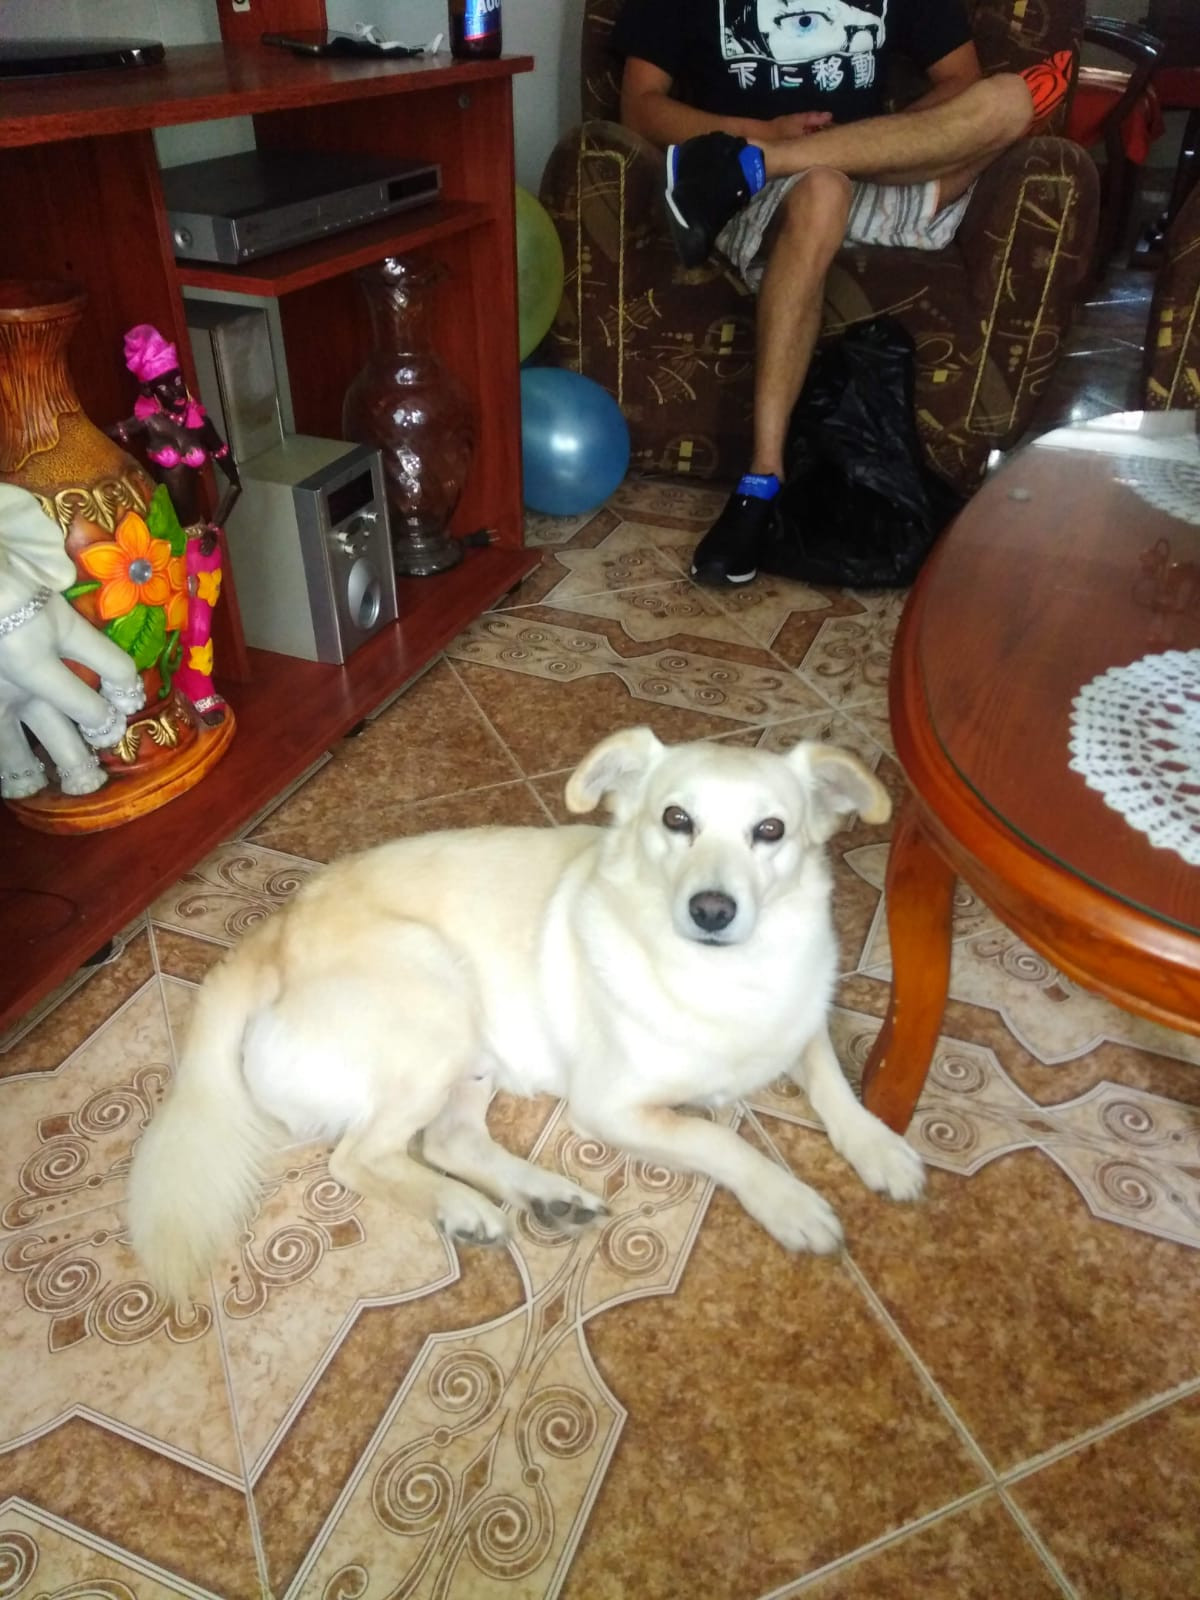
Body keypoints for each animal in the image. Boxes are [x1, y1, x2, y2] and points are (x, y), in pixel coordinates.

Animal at [128, 727, 924, 1303]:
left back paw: (546, 1196)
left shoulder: (802, 1020)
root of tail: (273, 937)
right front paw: (789, 1201)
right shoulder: (613, 1107)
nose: (712, 910)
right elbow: (720, 1143)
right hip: (436, 1003)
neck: (728, 979)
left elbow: (832, 1080)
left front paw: (879, 1146)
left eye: (771, 830)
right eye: (676, 820)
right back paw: (461, 1209)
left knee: (449, 1140)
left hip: (472, 1053)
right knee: (359, 1157)